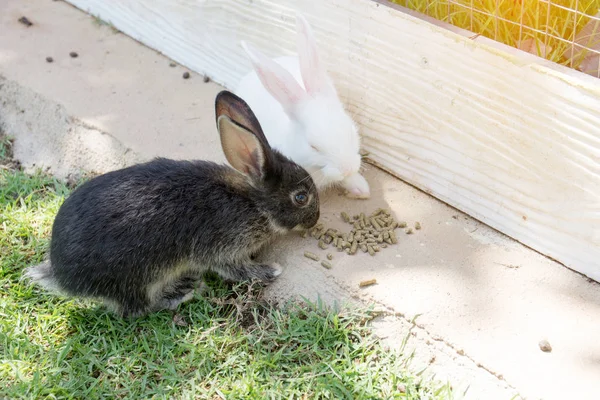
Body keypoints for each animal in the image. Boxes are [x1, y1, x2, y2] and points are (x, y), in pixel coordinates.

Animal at [25, 90, 322, 316]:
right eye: (300, 197)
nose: (316, 219)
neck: (253, 203)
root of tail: (62, 276)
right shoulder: (223, 247)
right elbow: (235, 268)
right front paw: (271, 270)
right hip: (139, 276)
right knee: (137, 308)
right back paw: (182, 292)